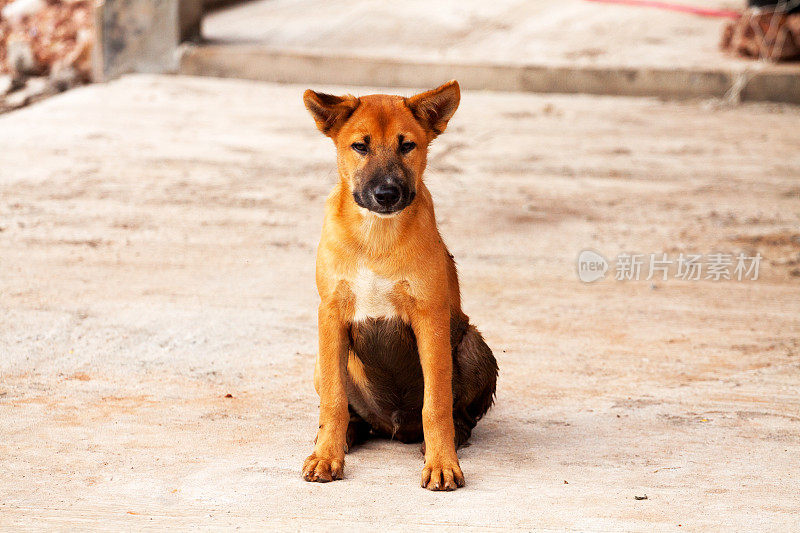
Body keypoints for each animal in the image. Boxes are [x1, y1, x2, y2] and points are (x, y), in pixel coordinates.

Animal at [304, 80, 496, 490]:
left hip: (472, 343)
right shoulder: (330, 314)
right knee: (350, 410)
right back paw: (347, 434)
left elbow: (436, 404)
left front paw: (442, 463)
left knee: (457, 414)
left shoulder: (430, 317)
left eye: (407, 145)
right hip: (320, 362)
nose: (387, 194)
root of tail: (393, 428)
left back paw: (451, 436)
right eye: (360, 146)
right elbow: (333, 401)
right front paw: (327, 455)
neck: (376, 237)